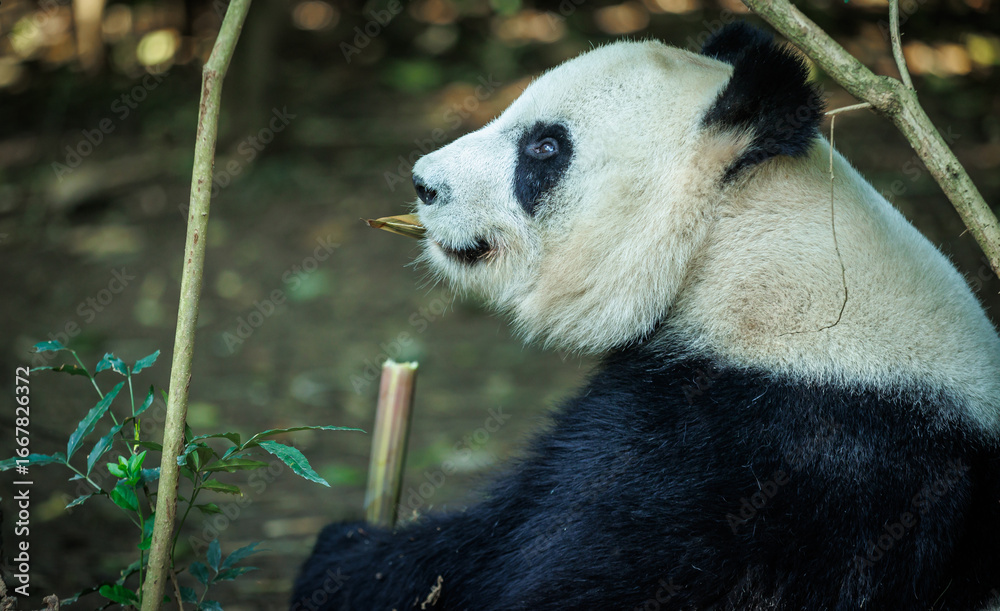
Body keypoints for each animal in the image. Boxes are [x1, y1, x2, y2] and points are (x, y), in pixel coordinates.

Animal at [293, 23, 1000, 610]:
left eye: (544, 148)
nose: (424, 184)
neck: (733, 240)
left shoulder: (769, 455)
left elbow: (583, 576)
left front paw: (346, 557)